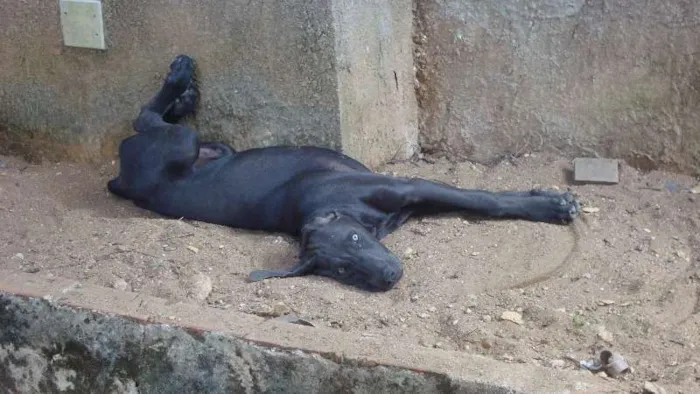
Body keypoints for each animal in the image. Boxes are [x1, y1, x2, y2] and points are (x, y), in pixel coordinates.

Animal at [109, 53, 580, 290]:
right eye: (342, 271)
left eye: (355, 240)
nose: (389, 277)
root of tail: (122, 178)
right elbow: (481, 201)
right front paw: (553, 205)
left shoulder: (409, 186)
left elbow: (482, 199)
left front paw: (552, 205)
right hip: (180, 146)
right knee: (145, 119)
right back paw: (182, 87)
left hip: (193, 143)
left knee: (147, 117)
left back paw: (182, 81)